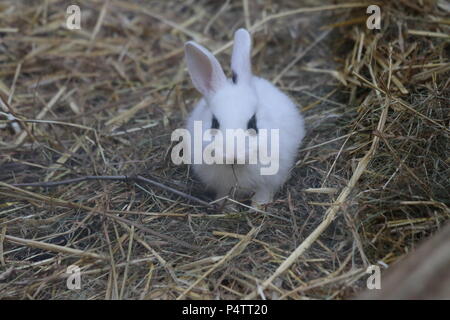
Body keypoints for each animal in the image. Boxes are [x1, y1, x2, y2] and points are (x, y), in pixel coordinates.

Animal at [184, 29, 306, 205]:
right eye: (214, 123)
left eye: (253, 123)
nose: (232, 155)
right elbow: (225, 195)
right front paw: (225, 206)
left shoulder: (271, 178)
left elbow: (263, 191)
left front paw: (258, 205)